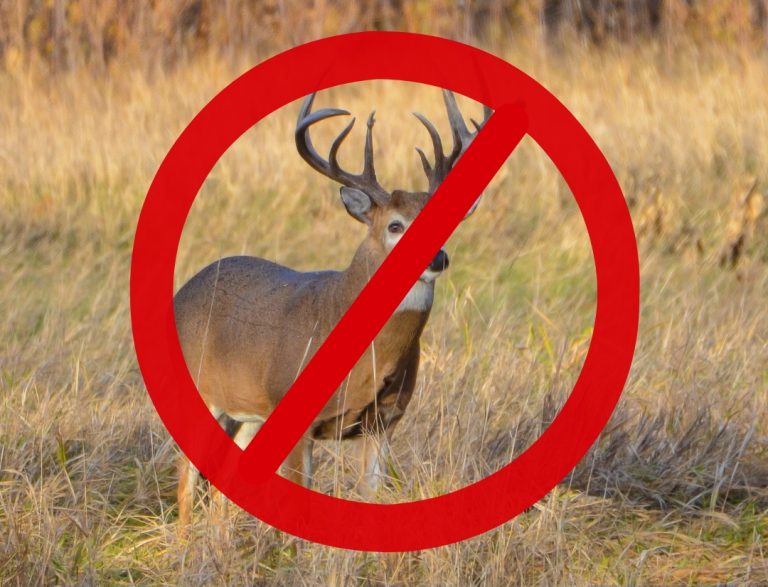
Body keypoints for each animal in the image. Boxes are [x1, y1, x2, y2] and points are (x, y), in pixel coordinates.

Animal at [174, 89, 490, 530]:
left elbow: (372, 496)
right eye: (395, 225)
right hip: (204, 392)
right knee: (186, 483)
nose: (438, 259)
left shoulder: (382, 423)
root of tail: (183, 291)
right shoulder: (296, 416)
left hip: (252, 413)